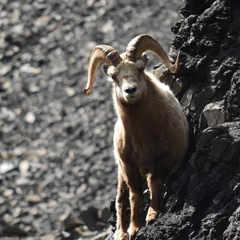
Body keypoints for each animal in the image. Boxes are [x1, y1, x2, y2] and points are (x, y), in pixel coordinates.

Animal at [83, 34, 188, 240]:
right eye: (114, 76)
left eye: (140, 69)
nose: (130, 90)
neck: (144, 138)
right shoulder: (128, 166)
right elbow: (135, 194)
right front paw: (134, 228)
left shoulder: (166, 159)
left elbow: (154, 182)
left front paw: (152, 216)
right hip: (120, 173)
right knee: (120, 199)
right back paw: (121, 233)